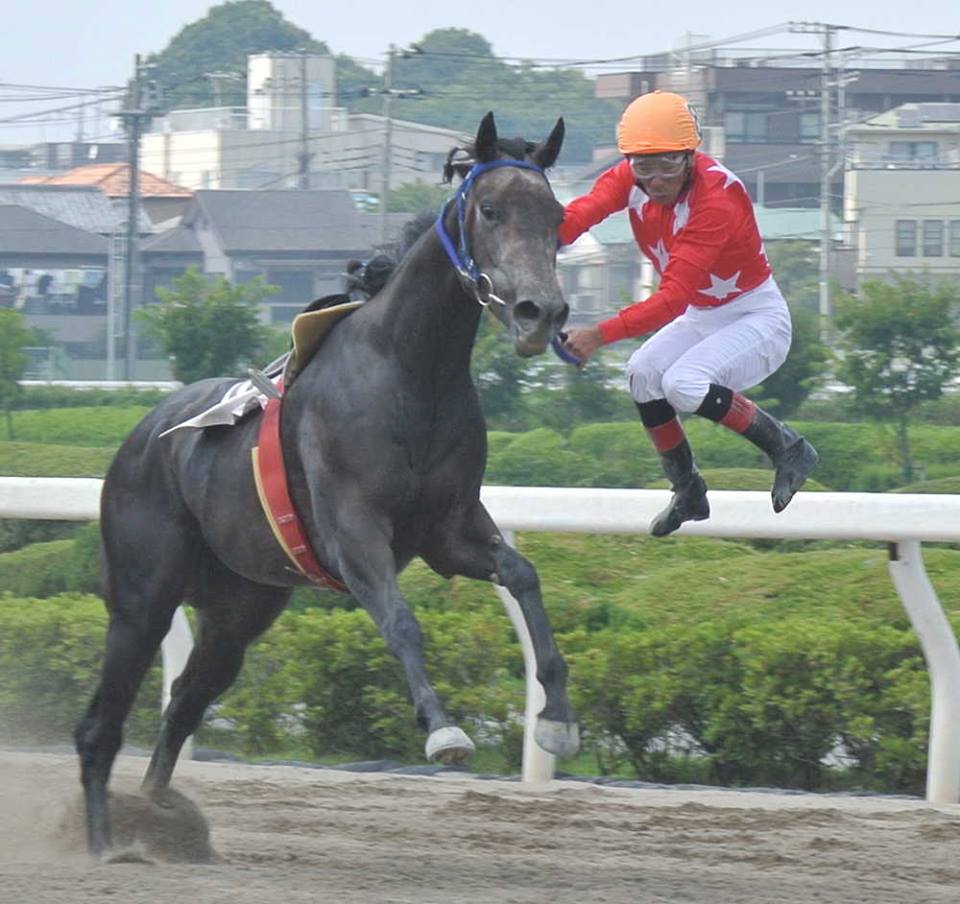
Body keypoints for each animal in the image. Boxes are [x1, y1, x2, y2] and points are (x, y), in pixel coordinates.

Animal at [75, 112, 579, 856]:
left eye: (557, 216)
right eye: (490, 210)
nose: (538, 312)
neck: (411, 369)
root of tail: (139, 438)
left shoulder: (449, 530)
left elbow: (523, 576)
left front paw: (557, 717)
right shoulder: (354, 530)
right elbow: (400, 620)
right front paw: (443, 730)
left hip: (240, 607)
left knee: (184, 703)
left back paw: (161, 817)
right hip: (143, 600)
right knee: (100, 727)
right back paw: (107, 846)